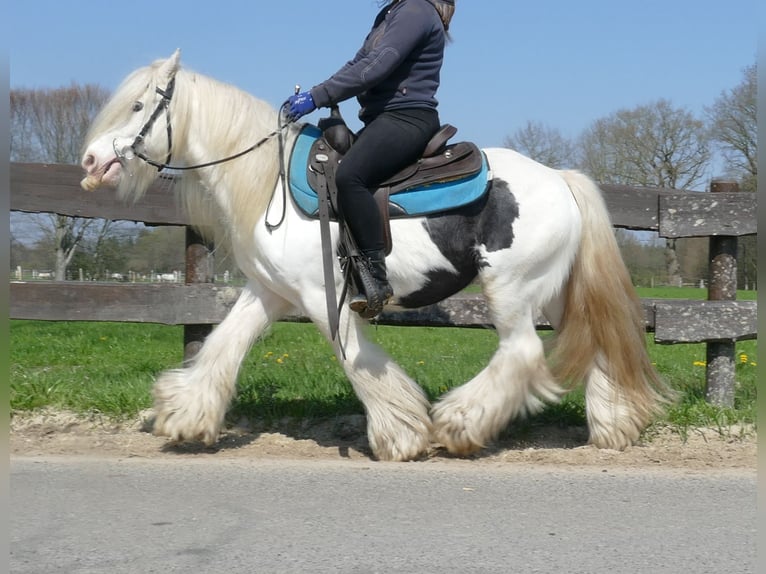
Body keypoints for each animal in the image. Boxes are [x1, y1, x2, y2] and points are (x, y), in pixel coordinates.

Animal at [82, 49, 672, 464]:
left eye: (138, 105)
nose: (89, 160)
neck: (271, 183)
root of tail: (561, 179)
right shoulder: (269, 291)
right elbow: (224, 344)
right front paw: (184, 416)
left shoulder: (322, 295)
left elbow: (357, 361)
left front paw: (403, 434)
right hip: (550, 291)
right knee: (593, 343)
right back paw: (614, 424)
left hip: (511, 289)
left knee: (522, 354)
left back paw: (458, 424)